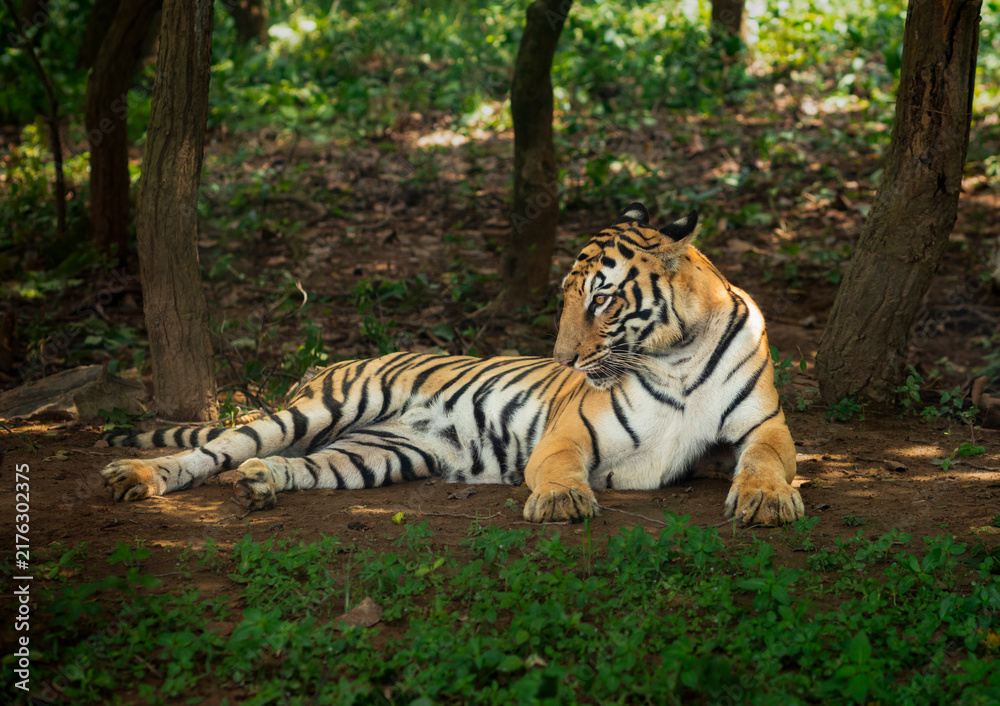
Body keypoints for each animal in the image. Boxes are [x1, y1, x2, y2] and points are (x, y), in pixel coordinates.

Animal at [100, 202, 804, 526]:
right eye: (565, 298)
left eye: (601, 299)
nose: (564, 360)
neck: (675, 353)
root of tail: (326, 367)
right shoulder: (571, 432)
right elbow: (559, 468)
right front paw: (561, 500)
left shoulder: (763, 427)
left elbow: (767, 463)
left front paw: (768, 501)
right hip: (323, 409)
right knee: (212, 450)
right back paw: (134, 477)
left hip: (376, 454)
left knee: (291, 464)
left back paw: (261, 483)